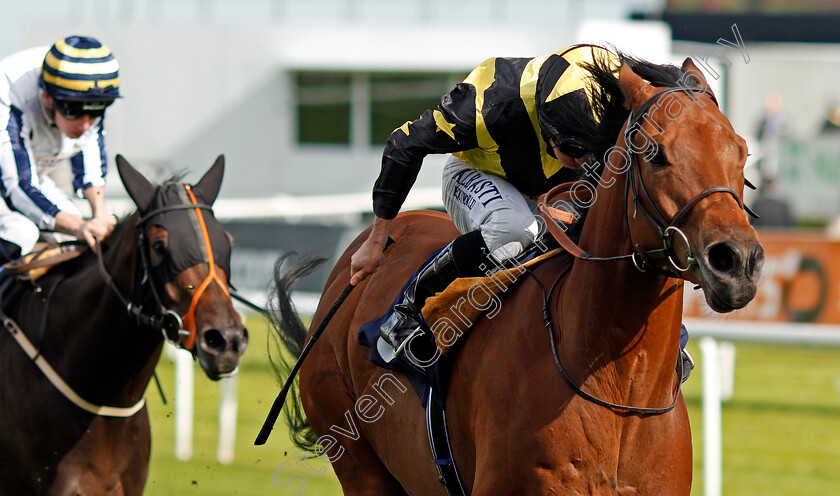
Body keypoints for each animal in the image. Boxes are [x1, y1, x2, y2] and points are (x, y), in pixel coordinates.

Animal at [272, 57, 764, 492]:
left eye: (742, 152)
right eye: (655, 154)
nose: (737, 261)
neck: (620, 392)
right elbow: (407, 141)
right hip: (359, 464)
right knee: (507, 230)